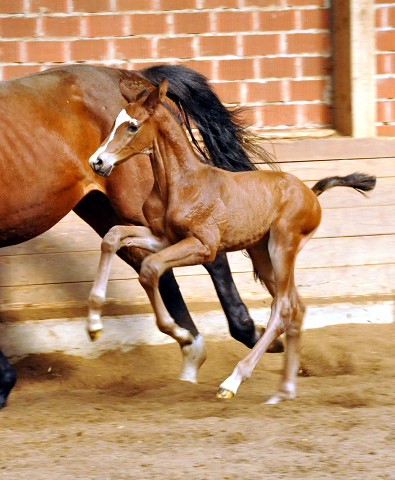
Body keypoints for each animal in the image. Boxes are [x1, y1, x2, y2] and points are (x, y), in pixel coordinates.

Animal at [0, 63, 280, 408]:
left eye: (131, 126)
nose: (98, 159)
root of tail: (137, 77)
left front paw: (4, 383)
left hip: (133, 201)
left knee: (206, 258)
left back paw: (247, 333)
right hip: (100, 206)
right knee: (152, 264)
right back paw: (191, 349)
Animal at [88, 79, 376, 402]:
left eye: (132, 126)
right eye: (115, 122)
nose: (97, 161)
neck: (180, 183)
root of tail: (311, 194)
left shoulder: (204, 247)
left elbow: (150, 268)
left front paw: (182, 334)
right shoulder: (164, 238)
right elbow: (113, 237)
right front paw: (94, 324)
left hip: (283, 248)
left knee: (284, 309)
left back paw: (233, 382)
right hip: (263, 255)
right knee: (295, 307)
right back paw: (283, 392)